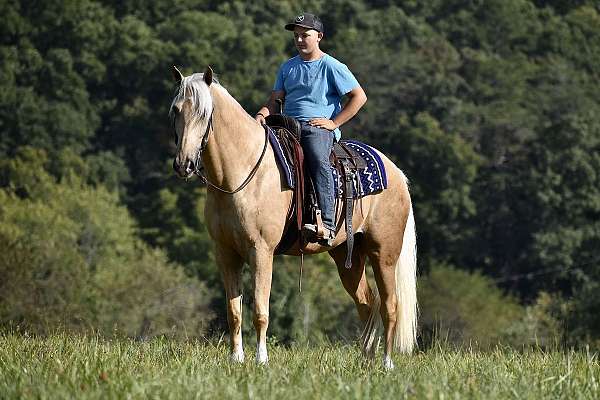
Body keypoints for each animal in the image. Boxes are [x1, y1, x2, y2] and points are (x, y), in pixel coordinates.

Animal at [170, 65, 418, 368]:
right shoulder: (226, 253)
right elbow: (234, 311)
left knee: (390, 306)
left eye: (204, 113)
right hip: (348, 257)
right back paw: (366, 361)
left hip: (384, 253)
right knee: (367, 304)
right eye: (176, 110)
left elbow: (260, 311)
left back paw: (386, 363)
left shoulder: (261, 251)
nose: (184, 164)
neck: (241, 173)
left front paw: (261, 359)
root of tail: (397, 173)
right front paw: (236, 359)